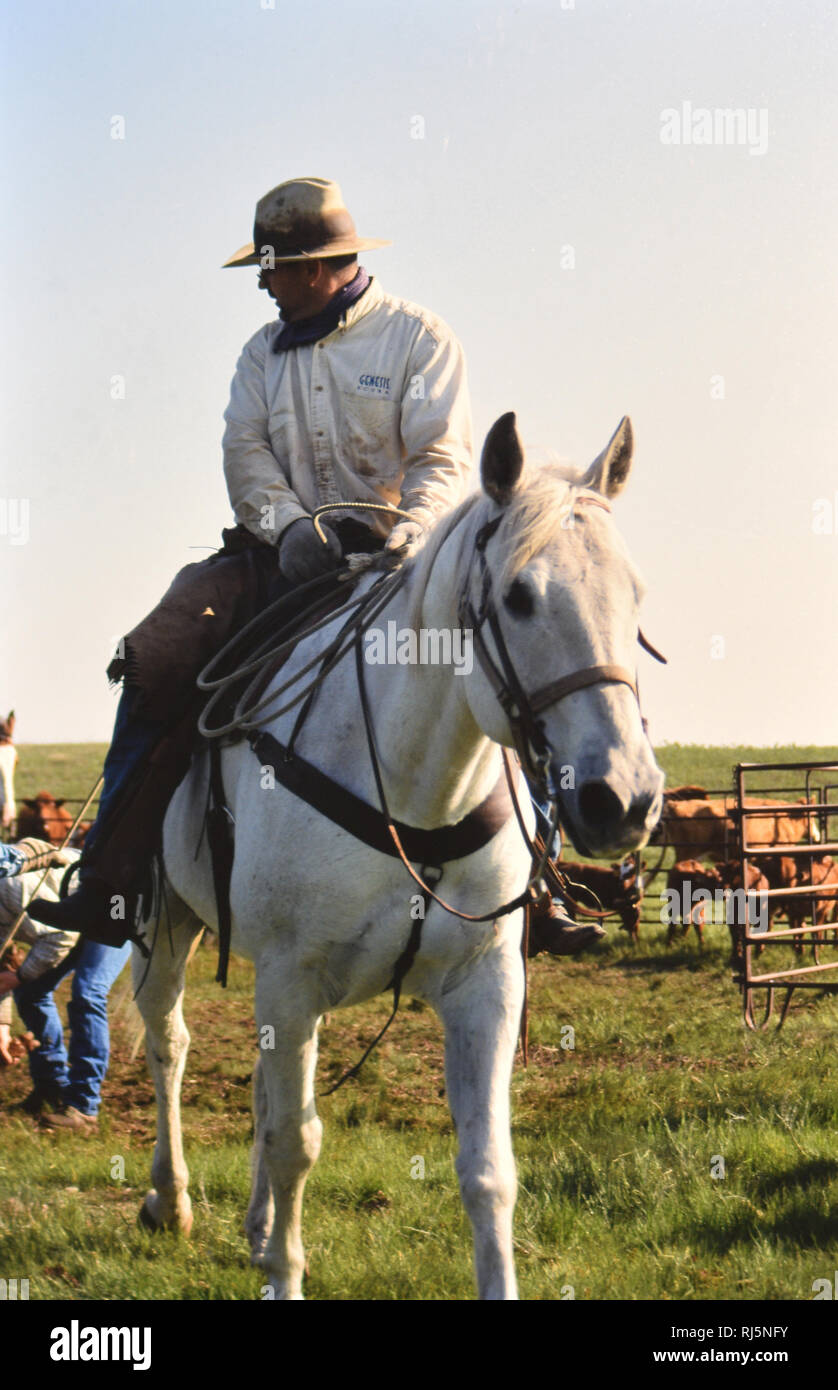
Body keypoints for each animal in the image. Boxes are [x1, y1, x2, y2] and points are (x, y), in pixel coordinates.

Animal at [134, 411, 664, 1301]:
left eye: (636, 595)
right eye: (518, 597)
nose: (620, 798)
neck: (414, 790)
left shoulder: (484, 984)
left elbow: (487, 1169)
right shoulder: (291, 978)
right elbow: (295, 1145)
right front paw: (283, 1274)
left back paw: (253, 1225)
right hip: (168, 923)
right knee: (170, 1042)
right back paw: (169, 1201)